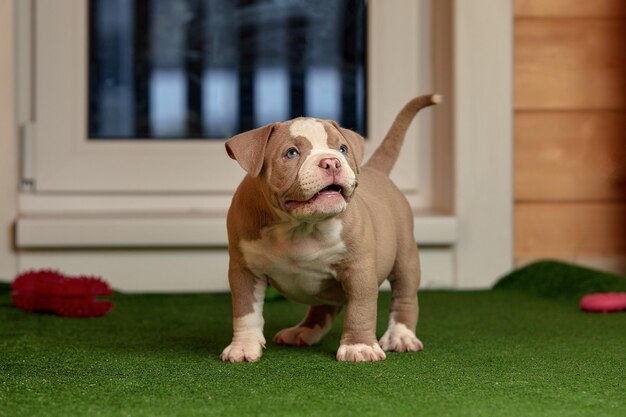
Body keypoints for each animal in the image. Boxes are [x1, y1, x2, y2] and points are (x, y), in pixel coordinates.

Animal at [219, 94, 438, 360]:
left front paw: (359, 346)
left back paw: (401, 335)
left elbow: (360, 309)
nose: (332, 162)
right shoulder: (244, 269)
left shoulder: (359, 269)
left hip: (405, 256)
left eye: (342, 149)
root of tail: (375, 170)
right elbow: (245, 311)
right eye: (291, 153)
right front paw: (243, 346)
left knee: (404, 295)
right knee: (324, 306)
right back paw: (304, 331)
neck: (299, 227)